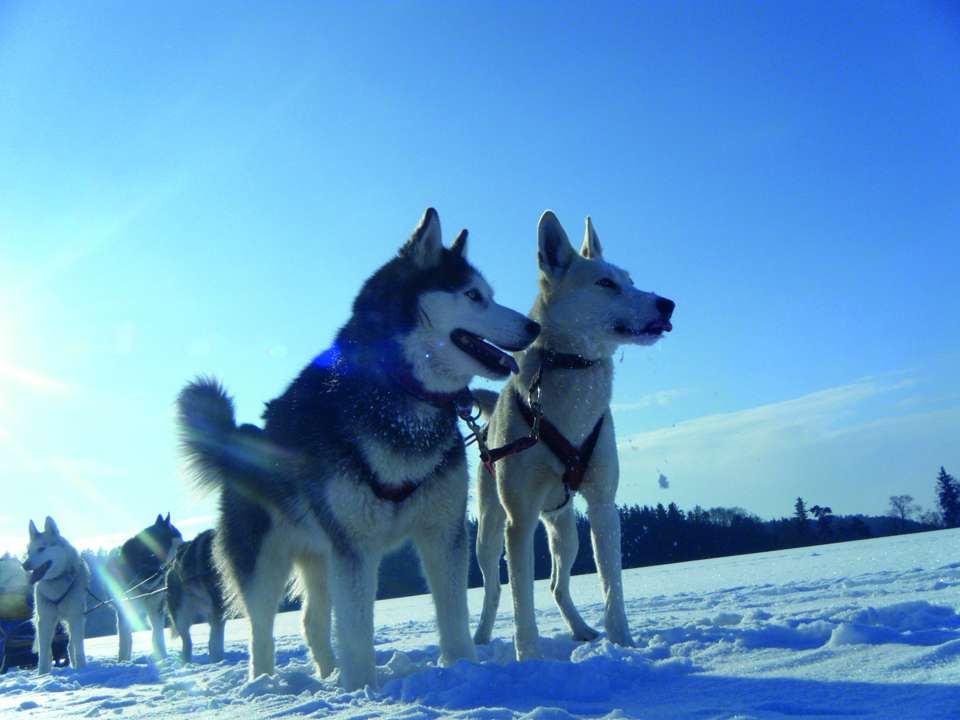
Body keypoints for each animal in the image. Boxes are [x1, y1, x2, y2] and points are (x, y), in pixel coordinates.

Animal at [21, 516, 88, 676]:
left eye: (41, 549)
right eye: (29, 551)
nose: (24, 565)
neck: (56, 582)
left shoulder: (76, 617)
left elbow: (78, 649)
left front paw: (82, 670)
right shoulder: (44, 621)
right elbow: (43, 654)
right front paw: (42, 676)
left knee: (71, 645)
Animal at [104, 516, 183, 660]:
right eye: (180, 536)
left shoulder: (156, 608)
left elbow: (157, 635)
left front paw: (162, 656)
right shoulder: (125, 609)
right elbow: (125, 639)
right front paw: (123, 661)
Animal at [178, 210, 540, 692]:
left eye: (489, 294)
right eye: (473, 295)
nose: (534, 327)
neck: (400, 394)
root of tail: (240, 441)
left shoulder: (442, 531)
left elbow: (453, 617)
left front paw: (462, 668)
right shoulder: (355, 545)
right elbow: (355, 627)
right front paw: (364, 691)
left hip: (319, 554)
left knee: (312, 620)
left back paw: (328, 675)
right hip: (266, 562)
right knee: (261, 629)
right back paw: (266, 685)